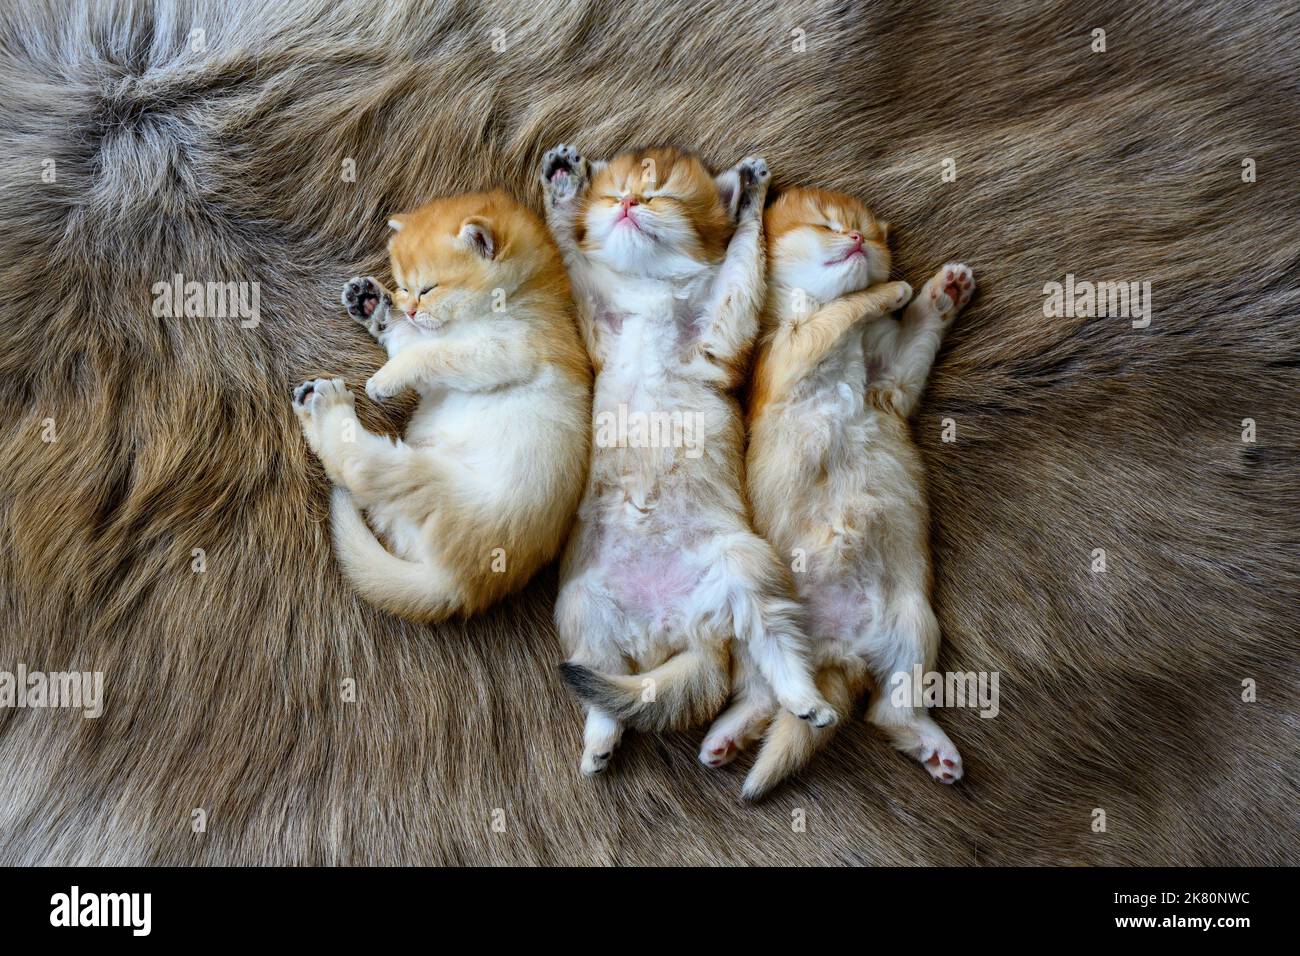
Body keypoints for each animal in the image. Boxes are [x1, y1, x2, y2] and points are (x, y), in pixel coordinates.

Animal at [293, 191, 590, 624]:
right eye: (403, 287)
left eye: (428, 288)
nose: (410, 308)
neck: (522, 299)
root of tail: (460, 587)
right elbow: (412, 341)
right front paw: (375, 304)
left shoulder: (502, 351)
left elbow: (430, 353)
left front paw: (384, 379)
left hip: (432, 483)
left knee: (358, 467)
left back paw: (327, 407)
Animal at [538, 145, 832, 780]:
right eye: (614, 193)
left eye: (660, 196)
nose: (627, 203)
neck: (650, 296)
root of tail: (671, 632)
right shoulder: (596, 315)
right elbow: (568, 250)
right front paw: (561, 186)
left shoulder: (719, 325)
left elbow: (743, 259)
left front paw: (751, 194)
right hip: (583, 606)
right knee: (607, 684)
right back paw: (599, 741)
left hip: (744, 566)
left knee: (777, 649)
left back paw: (806, 699)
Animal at [712, 187, 977, 801]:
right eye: (827, 224)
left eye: (869, 233)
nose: (857, 240)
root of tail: (839, 655)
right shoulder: (788, 352)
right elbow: (838, 313)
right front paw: (891, 292)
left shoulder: (890, 383)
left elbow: (908, 339)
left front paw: (941, 293)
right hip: (759, 638)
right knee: (770, 695)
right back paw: (729, 735)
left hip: (914, 625)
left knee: (888, 711)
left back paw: (933, 747)